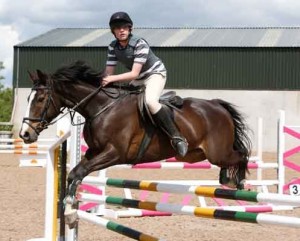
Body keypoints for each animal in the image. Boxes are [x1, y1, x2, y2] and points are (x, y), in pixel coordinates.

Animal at [19, 60, 252, 228]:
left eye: (40, 99)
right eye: (29, 98)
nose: (25, 134)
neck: (101, 108)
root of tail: (216, 105)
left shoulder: (114, 153)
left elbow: (79, 172)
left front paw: (69, 211)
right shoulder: (94, 151)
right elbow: (74, 173)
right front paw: (70, 211)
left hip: (217, 152)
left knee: (242, 154)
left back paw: (238, 183)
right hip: (197, 154)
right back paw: (226, 178)